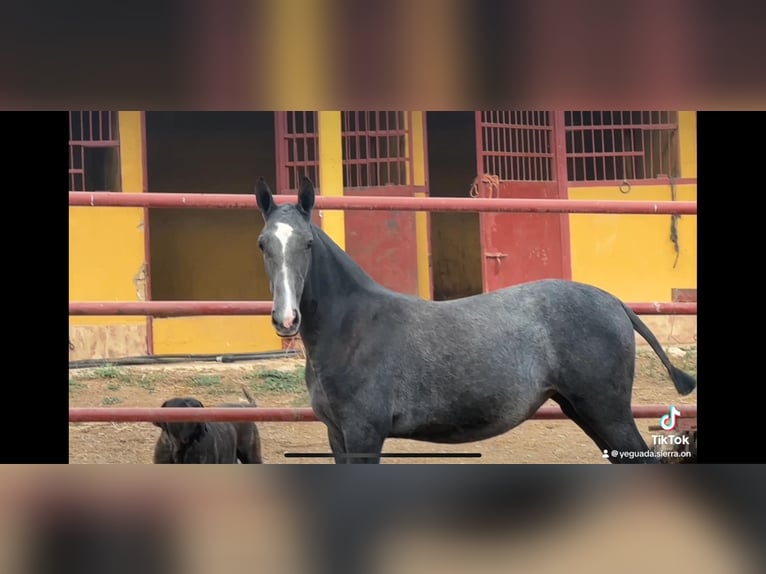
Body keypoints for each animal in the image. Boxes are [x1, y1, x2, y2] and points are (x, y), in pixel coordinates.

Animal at [255, 178, 700, 466]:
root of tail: (615, 303)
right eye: (263, 243)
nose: (286, 318)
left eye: (307, 243)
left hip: (608, 412)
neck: (352, 329)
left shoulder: (365, 433)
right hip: (585, 411)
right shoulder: (338, 435)